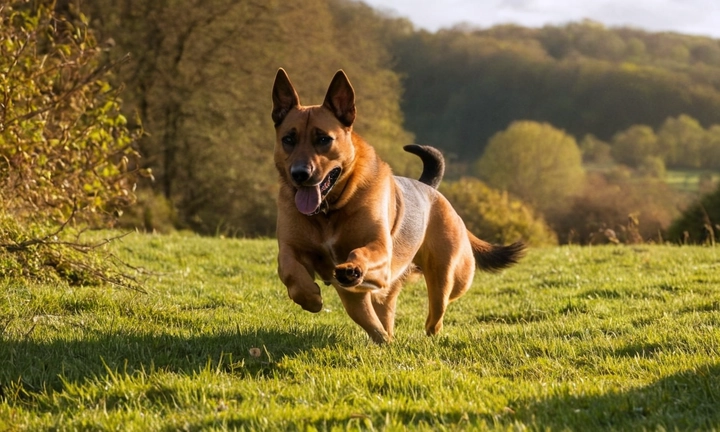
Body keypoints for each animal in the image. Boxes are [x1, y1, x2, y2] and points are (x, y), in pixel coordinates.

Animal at [270, 68, 524, 344]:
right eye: (288, 139)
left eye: (324, 139)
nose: (300, 174)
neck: (328, 211)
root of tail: (431, 189)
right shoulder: (290, 248)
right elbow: (290, 271)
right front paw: (310, 298)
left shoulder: (380, 249)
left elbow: (361, 252)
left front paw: (351, 268)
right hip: (365, 297)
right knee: (376, 319)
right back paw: (385, 339)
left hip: (449, 277)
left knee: (437, 312)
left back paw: (425, 333)